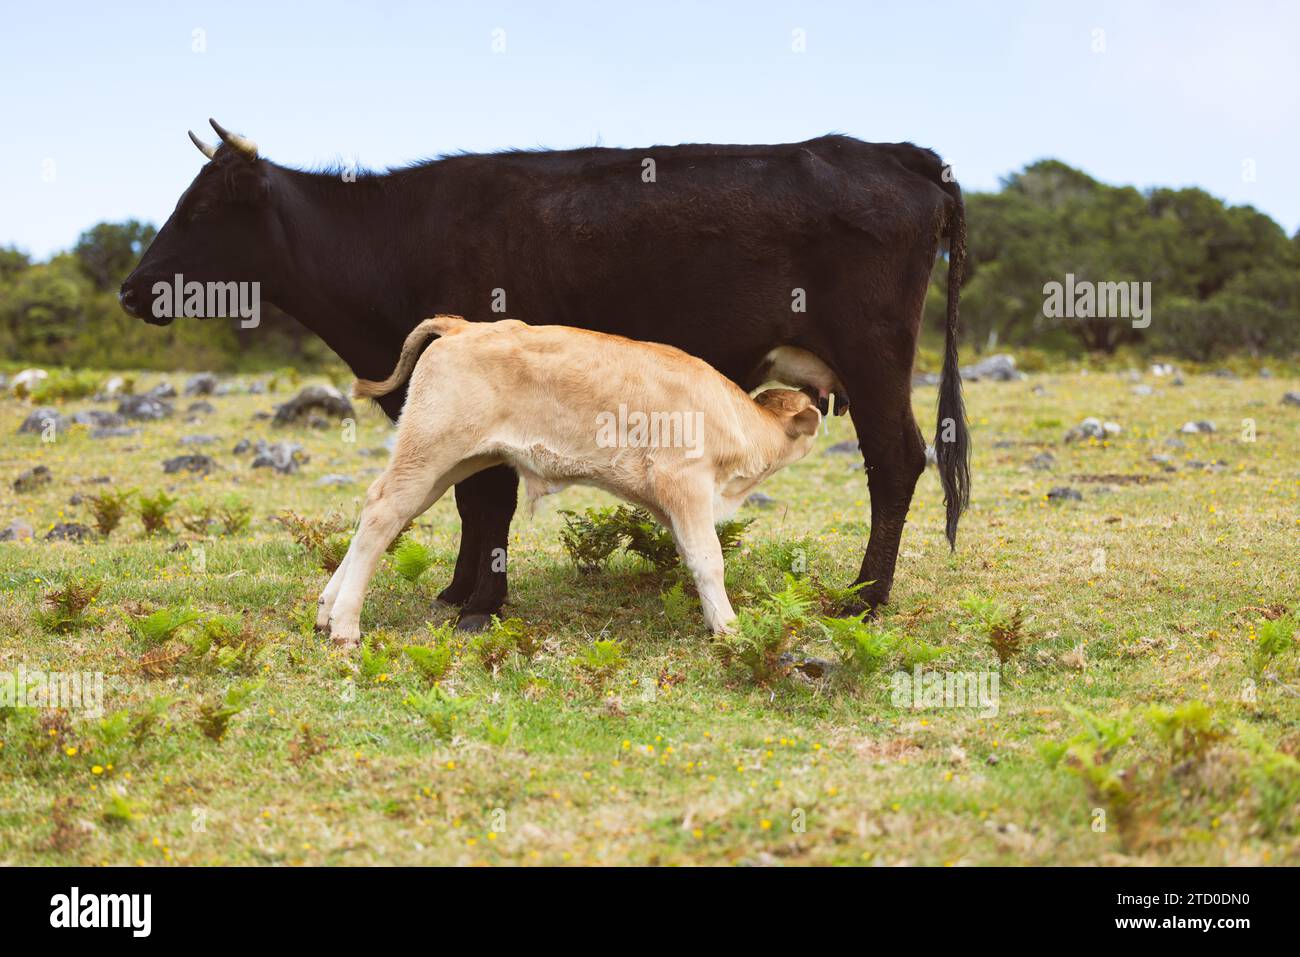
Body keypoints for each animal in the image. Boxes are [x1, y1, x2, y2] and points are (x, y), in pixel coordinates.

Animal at [322, 317, 832, 647]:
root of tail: (465, 325)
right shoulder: (684, 482)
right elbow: (708, 558)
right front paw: (727, 627)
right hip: (431, 447)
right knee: (384, 511)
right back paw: (346, 626)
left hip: (454, 461)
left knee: (383, 510)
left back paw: (325, 612)